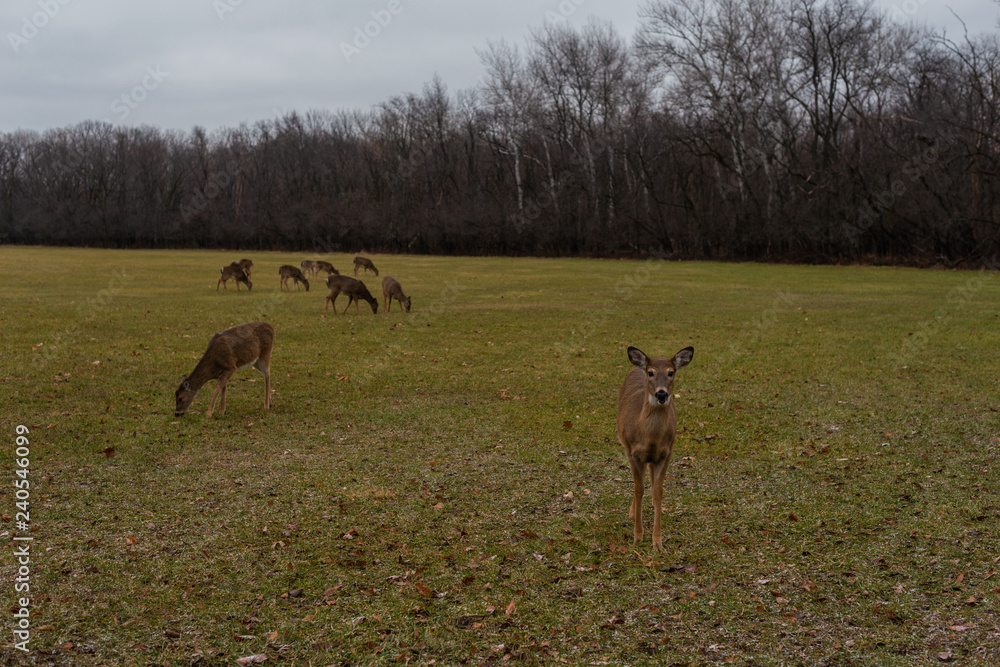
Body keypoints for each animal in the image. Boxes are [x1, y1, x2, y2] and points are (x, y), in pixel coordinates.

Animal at [616, 345, 694, 551]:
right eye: (651, 373)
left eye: (671, 372)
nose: (661, 394)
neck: (649, 438)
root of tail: (637, 367)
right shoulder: (633, 453)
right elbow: (638, 489)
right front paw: (637, 536)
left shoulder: (666, 453)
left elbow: (659, 490)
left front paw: (657, 542)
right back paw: (633, 512)